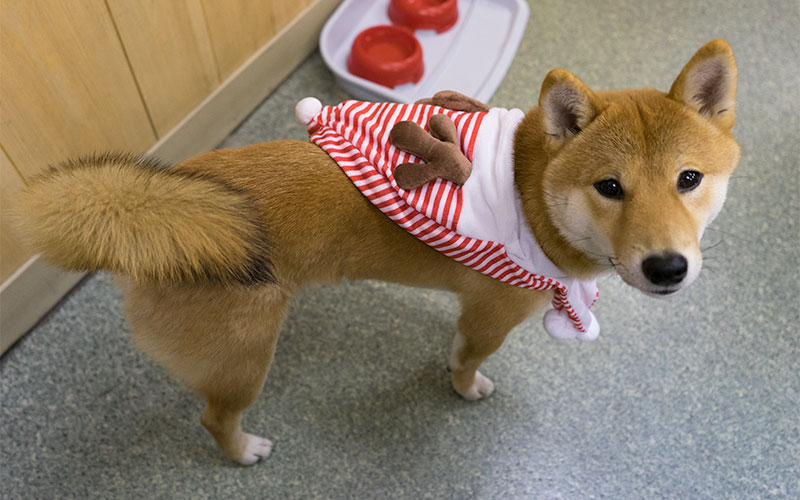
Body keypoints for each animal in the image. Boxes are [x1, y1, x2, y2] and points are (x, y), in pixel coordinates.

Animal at [12, 39, 740, 464]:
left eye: (689, 179)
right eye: (609, 187)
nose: (668, 267)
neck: (530, 190)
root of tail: (147, 212)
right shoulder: (489, 318)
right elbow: (465, 360)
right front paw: (465, 387)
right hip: (245, 361)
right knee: (214, 417)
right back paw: (243, 450)